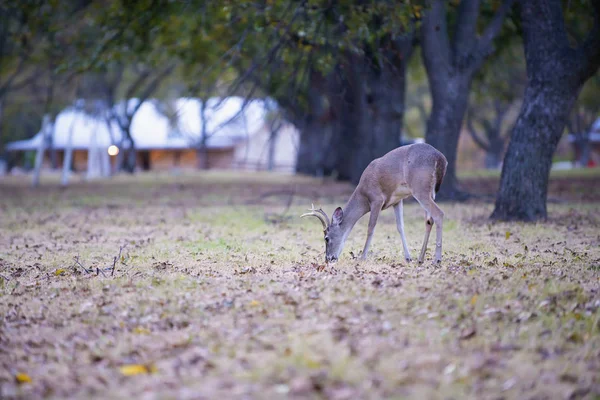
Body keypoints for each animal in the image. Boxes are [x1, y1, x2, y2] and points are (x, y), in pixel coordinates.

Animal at [302, 142, 448, 264]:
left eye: (326, 238)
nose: (328, 259)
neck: (363, 194)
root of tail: (440, 158)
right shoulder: (397, 200)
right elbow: (400, 227)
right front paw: (408, 258)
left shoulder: (377, 199)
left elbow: (370, 228)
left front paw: (362, 257)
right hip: (430, 192)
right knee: (429, 220)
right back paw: (421, 258)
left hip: (420, 187)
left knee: (439, 213)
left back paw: (437, 260)